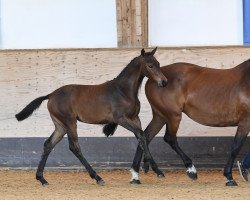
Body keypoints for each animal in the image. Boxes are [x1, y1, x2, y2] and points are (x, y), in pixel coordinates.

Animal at [16, 48, 168, 186]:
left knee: (48, 144)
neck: (123, 91)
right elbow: (141, 135)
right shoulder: (121, 119)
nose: (164, 82)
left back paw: (41, 178)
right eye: (150, 65)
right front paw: (154, 169)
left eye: (158, 63)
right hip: (70, 122)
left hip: (60, 126)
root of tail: (51, 94)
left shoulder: (135, 118)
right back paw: (97, 177)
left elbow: (142, 137)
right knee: (74, 147)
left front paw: (143, 171)